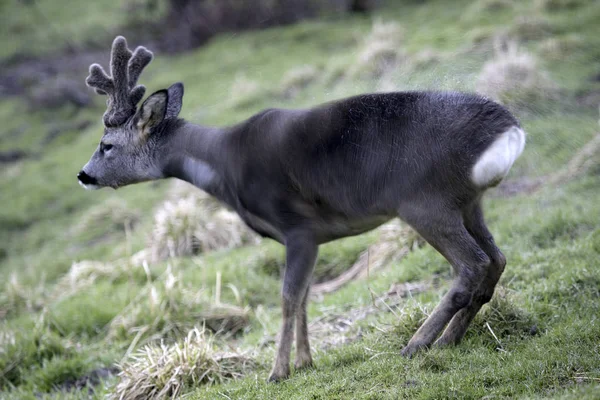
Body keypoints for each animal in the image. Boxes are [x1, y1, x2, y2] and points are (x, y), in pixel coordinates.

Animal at [77, 36, 524, 382]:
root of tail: (509, 129)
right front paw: (307, 361)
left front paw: (278, 371)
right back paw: (450, 338)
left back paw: (417, 343)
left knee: (472, 265)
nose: (84, 174)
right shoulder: (316, 238)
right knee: (496, 259)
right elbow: (307, 295)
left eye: (107, 145)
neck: (224, 167)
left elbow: (289, 297)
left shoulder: (298, 228)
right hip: (468, 202)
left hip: (425, 201)